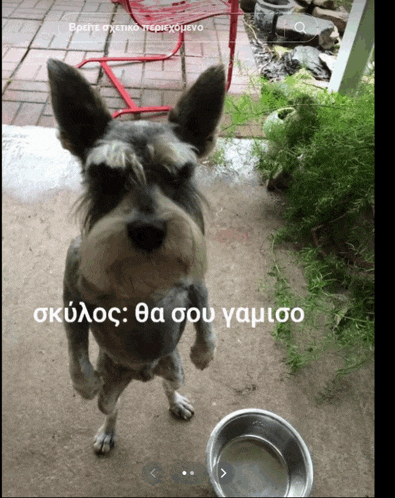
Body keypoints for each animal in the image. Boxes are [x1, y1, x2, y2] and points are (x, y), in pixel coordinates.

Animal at [46, 58, 224, 456]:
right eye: (106, 175)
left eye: (181, 172)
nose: (149, 231)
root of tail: (142, 373)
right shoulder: (73, 290)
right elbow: (74, 345)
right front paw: (83, 383)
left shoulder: (195, 281)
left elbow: (205, 315)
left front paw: (205, 354)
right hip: (113, 386)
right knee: (112, 408)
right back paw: (106, 432)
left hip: (172, 367)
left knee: (168, 386)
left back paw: (178, 402)